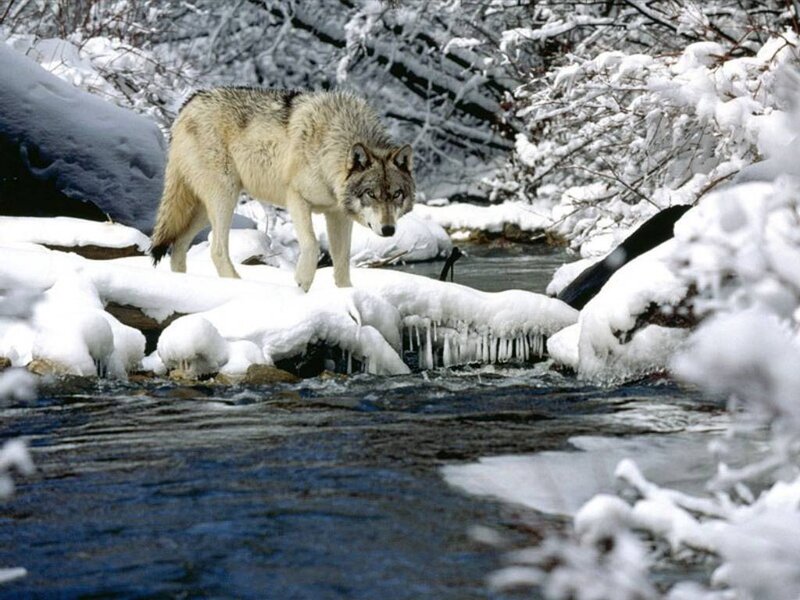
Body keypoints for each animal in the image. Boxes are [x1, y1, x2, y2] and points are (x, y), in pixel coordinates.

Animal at [150, 88, 415, 291]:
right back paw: (238, 284)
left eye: (396, 195)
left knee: (178, 245)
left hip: (205, 210)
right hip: (224, 198)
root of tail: (188, 104)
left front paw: (347, 294)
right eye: (371, 194)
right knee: (216, 249)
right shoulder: (296, 199)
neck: (331, 143)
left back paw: (184, 283)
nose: (389, 230)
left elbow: (342, 261)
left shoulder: (337, 214)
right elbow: (312, 244)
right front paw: (302, 282)